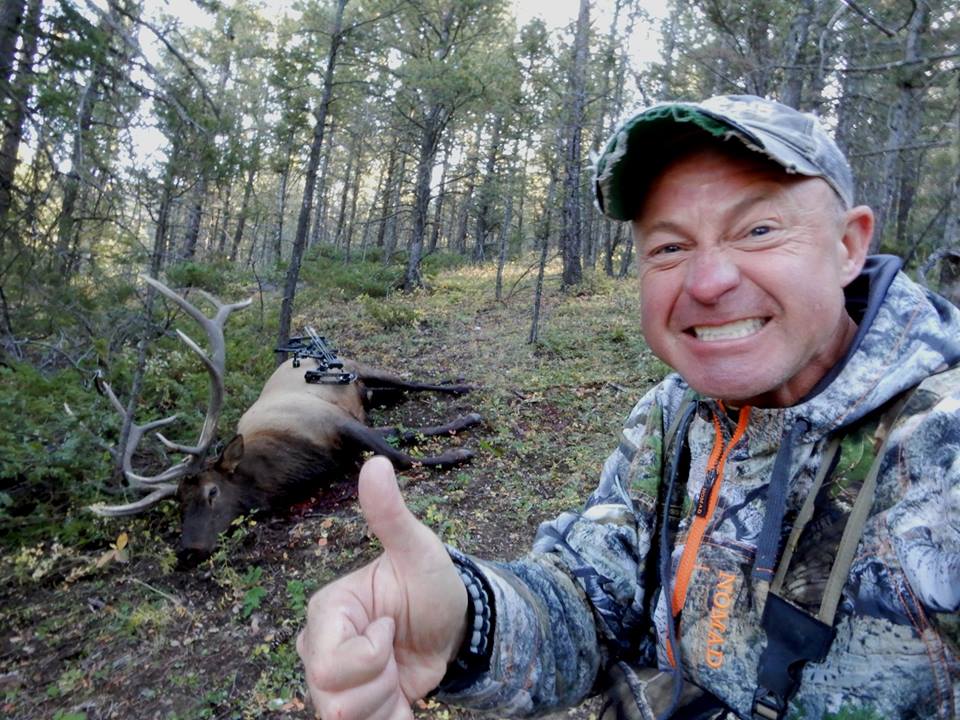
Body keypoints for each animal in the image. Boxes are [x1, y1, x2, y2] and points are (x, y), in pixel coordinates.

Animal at [92, 278, 478, 564]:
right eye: (179, 504)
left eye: (212, 491)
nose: (188, 552)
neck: (294, 465)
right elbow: (402, 432)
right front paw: (460, 430)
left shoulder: (338, 421)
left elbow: (400, 456)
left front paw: (459, 451)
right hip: (366, 391)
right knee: (391, 395)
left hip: (360, 368)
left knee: (412, 382)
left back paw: (462, 386)